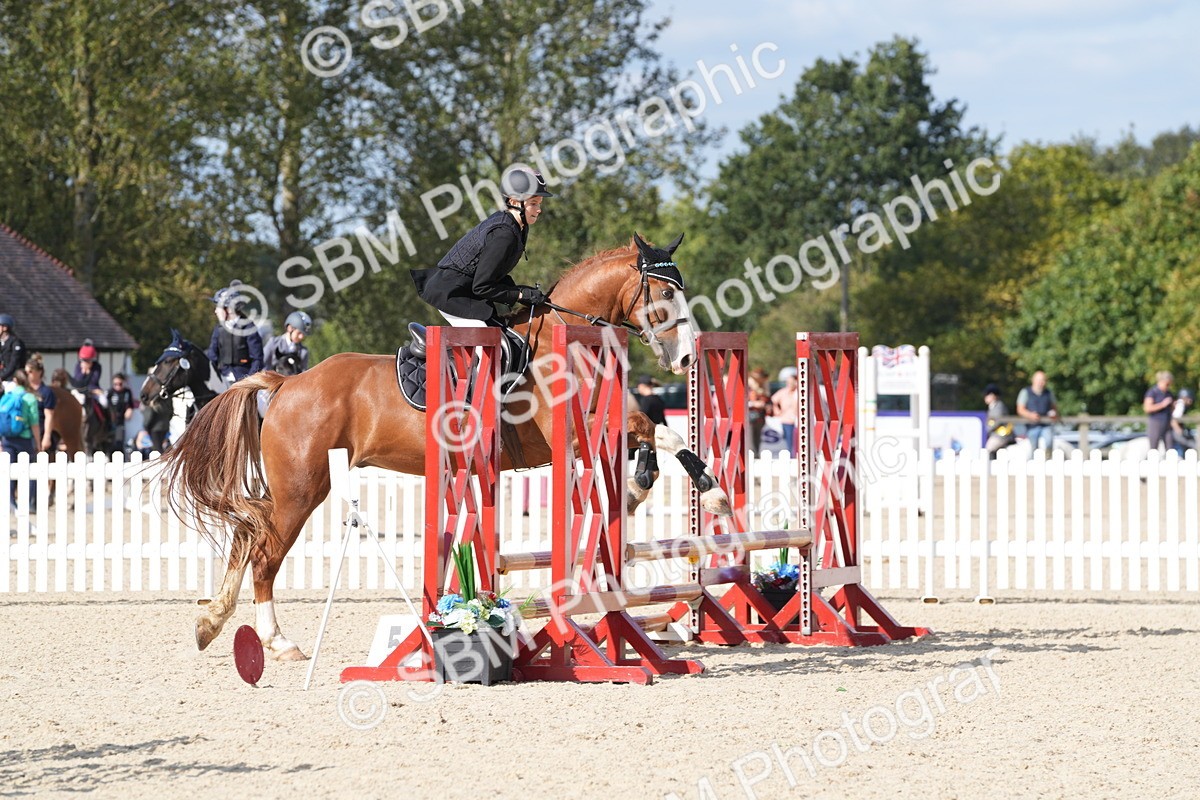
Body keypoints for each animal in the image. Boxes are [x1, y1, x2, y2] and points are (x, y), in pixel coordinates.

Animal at [153, 233, 731, 661]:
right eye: (665, 296)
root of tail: (286, 383)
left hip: (291, 487)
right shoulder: (574, 430)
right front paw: (714, 492)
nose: (685, 360)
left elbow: (652, 437)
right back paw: (278, 641)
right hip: (301, 489)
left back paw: (211, 623)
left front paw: (644, 489)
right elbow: (658, 429)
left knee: (244, 537)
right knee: (265, 554)